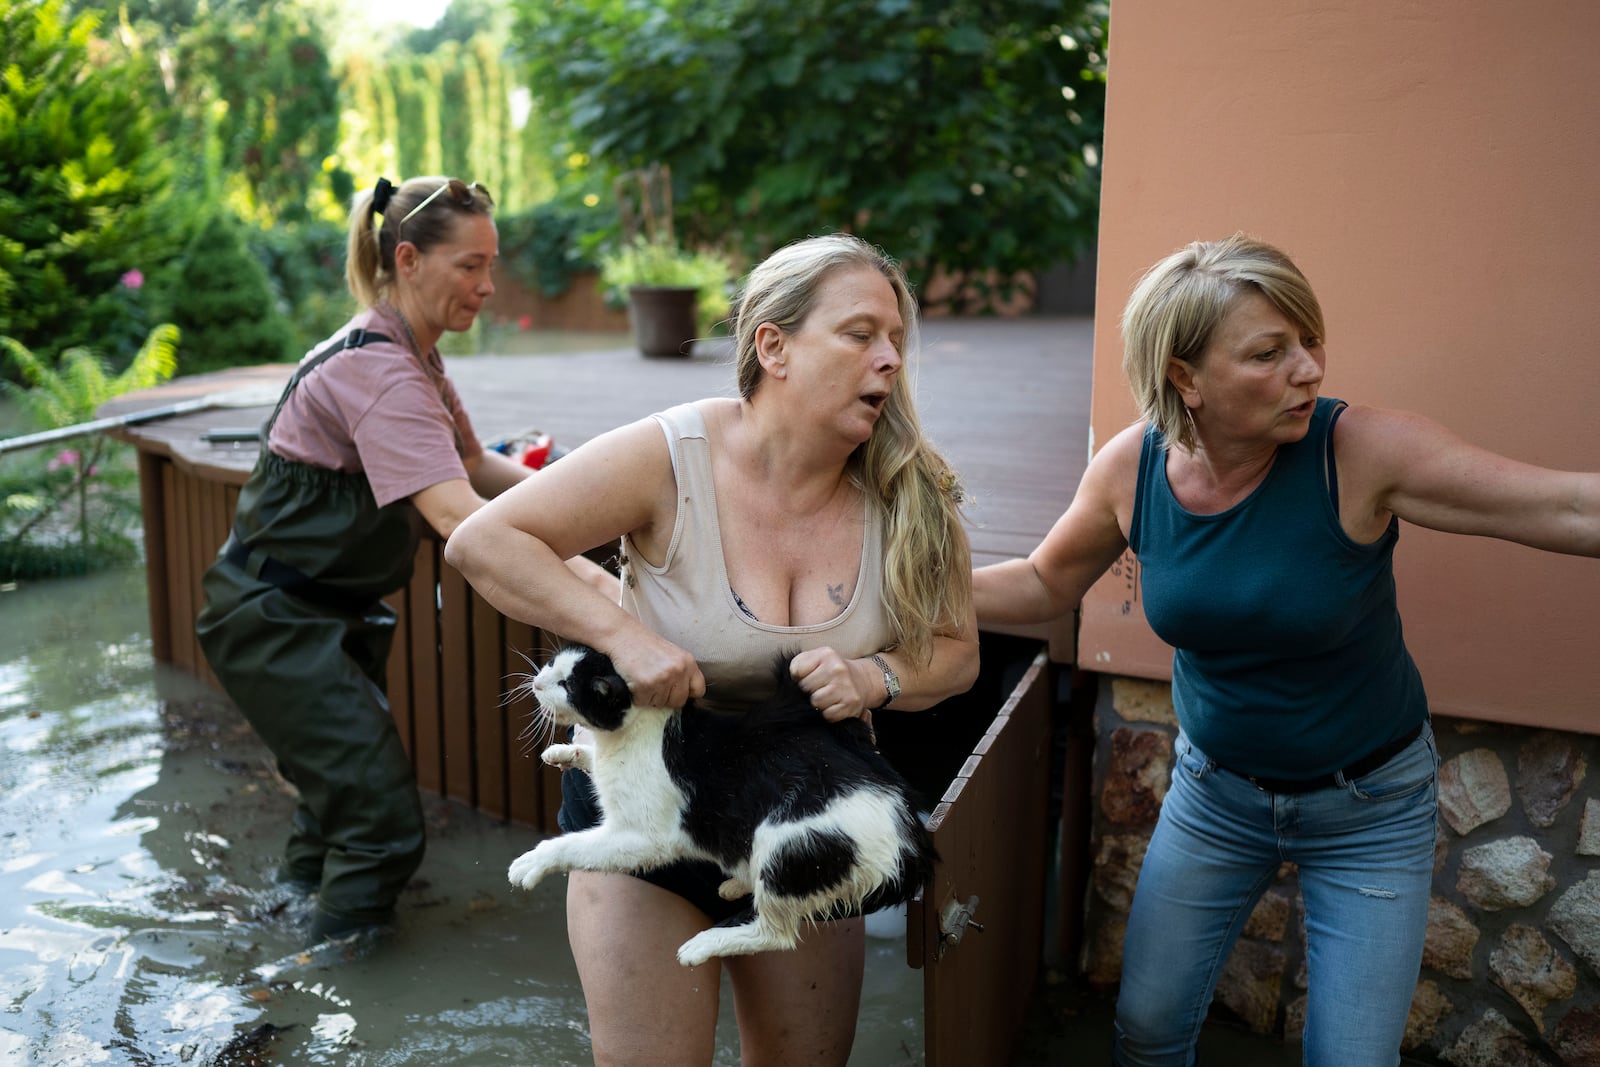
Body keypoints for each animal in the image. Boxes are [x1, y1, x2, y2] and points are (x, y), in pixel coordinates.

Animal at [505, 643, 934, 966]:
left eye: (566, 685)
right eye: (551, 664)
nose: (537, 682)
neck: (637, 733)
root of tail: (912, 838)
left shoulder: (643, 838)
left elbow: (573, 844)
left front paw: (531, 862)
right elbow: (590, 759)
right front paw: (563, 752)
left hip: (786, 843)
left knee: (777, 935)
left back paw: (703, 944)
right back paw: (736, 882)